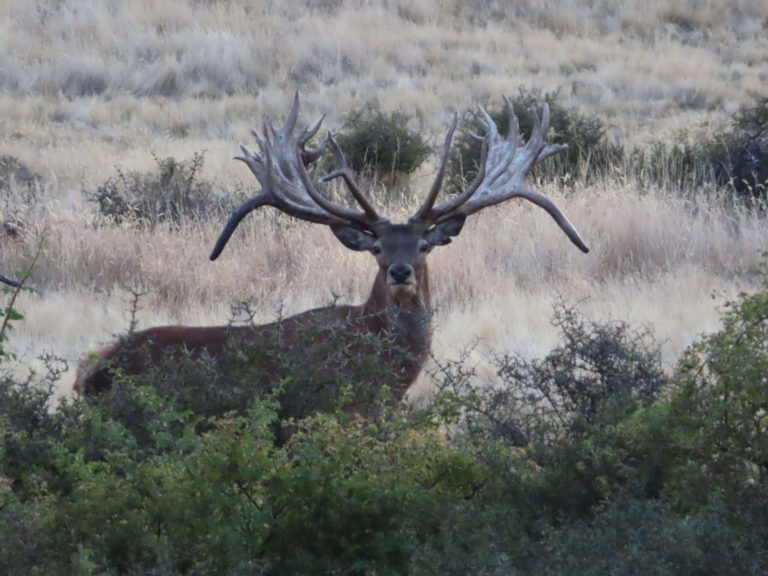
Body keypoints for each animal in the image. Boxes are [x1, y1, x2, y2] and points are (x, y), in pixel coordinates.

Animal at [74, 93, 589, 419]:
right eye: (377, 247)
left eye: (423, 244)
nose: (400, 271)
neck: (383, 371)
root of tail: (89, 371)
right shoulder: (340, 411)